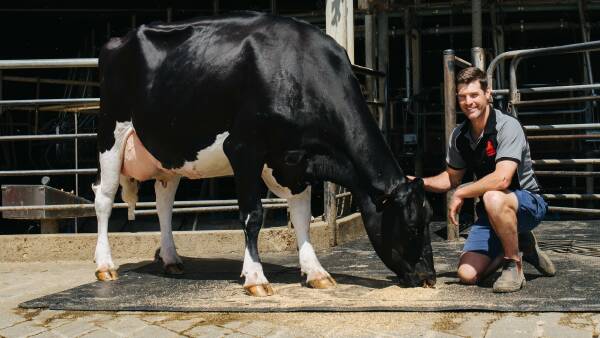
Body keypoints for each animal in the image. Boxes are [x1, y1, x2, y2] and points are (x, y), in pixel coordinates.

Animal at [92, 11, 436, 296]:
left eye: (429, 219)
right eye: (413, 226)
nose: (429, 277)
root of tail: (117, 40)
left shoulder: (295, 161)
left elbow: (301, 217)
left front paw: (316, 272)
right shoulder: (243, 149)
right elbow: (253, 215)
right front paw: (255, 277)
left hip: (169, 152)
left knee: (164, 202)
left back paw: (171, 258)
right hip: (110, 133)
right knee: (104, 198)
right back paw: (105, 266)